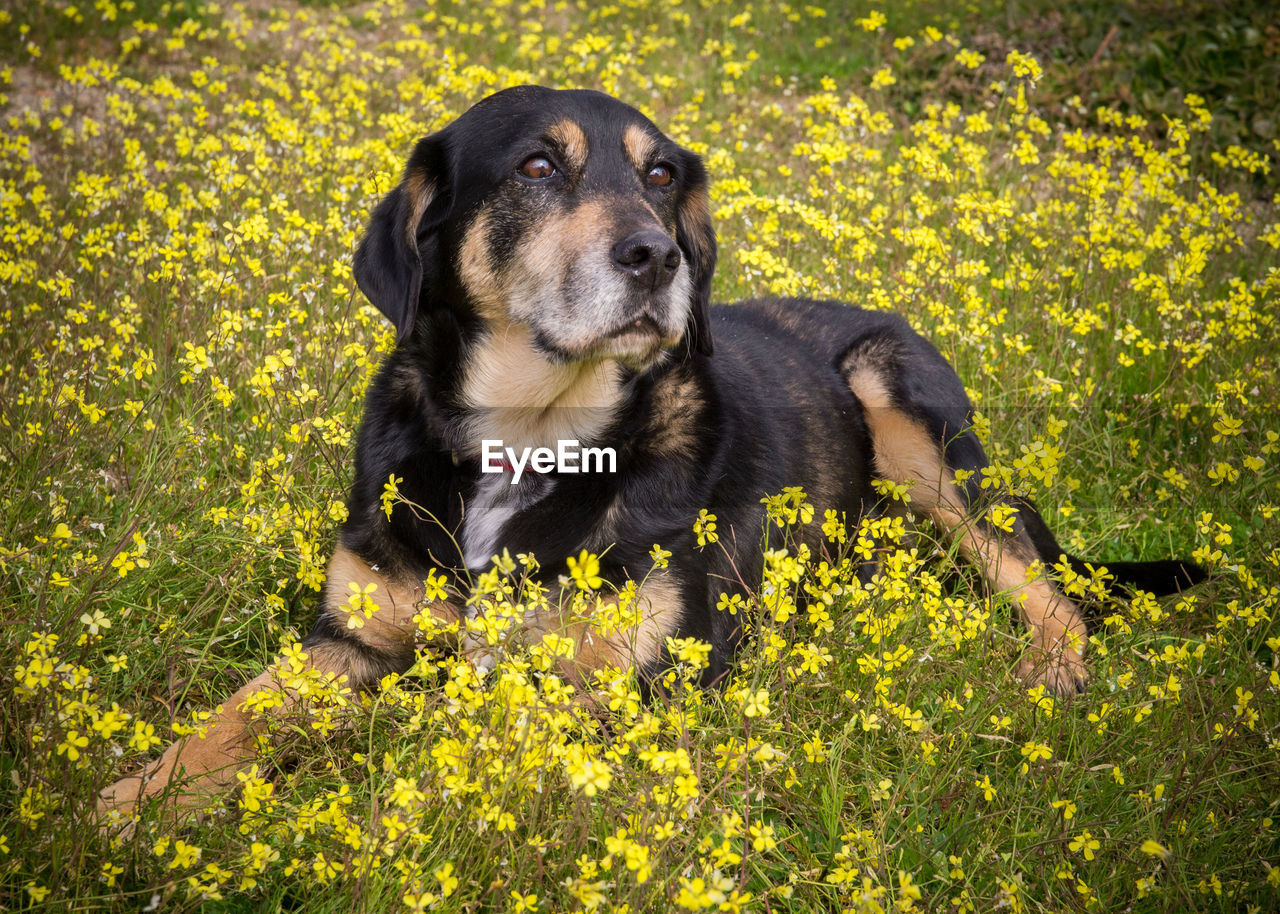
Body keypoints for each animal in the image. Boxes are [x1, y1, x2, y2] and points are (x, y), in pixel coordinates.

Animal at [94, 85, 1203, 824]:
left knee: (1041, 575)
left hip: (906, 415)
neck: (530, 436)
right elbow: (226, 724)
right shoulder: (350, 639)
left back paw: (1050, 670)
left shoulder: (649, 686)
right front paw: (121, 807)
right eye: (538, 167)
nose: (657, 256)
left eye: (661, 174)